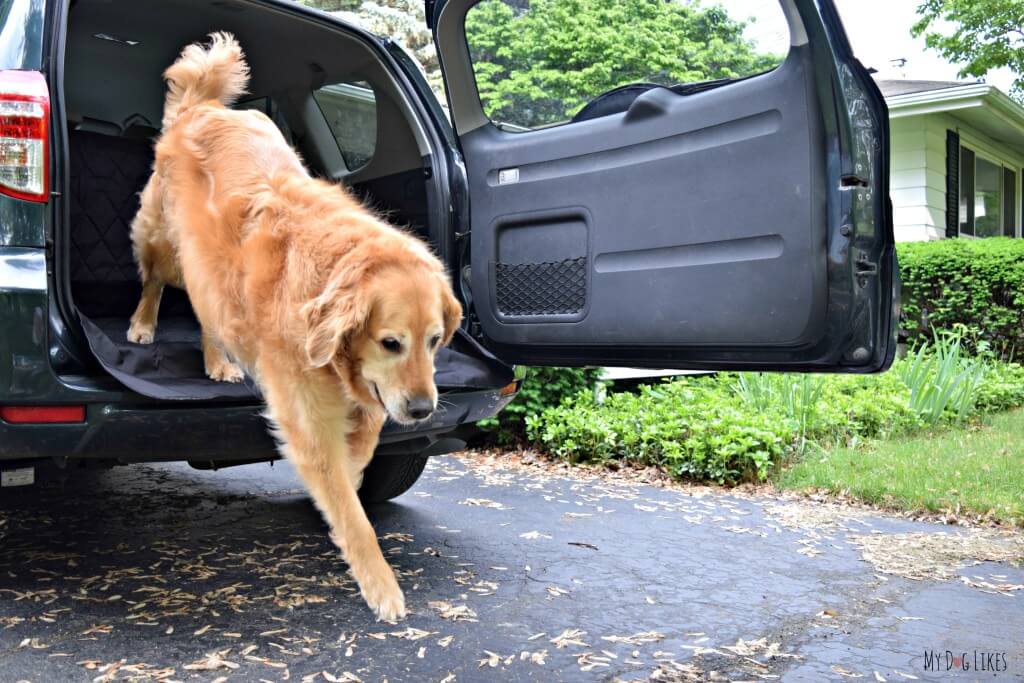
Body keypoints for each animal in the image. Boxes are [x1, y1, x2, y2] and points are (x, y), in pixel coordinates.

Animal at [128, 31, 460, 618]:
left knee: (209, 313)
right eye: (390, 342)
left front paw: (354, 472)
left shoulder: (365, 393)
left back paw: (218, 362)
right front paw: (380, 584)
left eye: (434, 341)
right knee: (154, 283)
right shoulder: (306, 413)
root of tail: (204, 108)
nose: (423, 411)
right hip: (163, 239)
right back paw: (142, 326)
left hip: (209, 268)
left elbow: (363, 443)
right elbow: (348, 504)